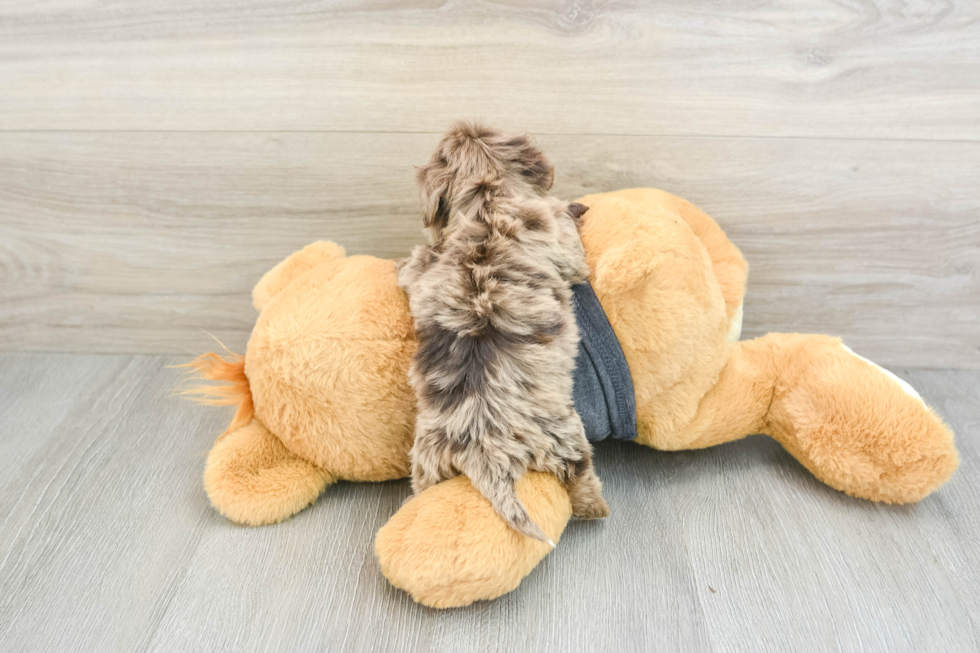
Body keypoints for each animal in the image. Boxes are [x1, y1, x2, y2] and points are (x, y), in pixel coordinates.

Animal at [394, 122, 608, 544]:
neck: (487, 198)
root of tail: (483, 452)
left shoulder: (425, 271)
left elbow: (416, 263)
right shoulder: (565, 249)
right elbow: (573, 248)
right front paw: (574, 210)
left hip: (428, 466)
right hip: (567, 439)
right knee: (582, 478)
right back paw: (595, 507)